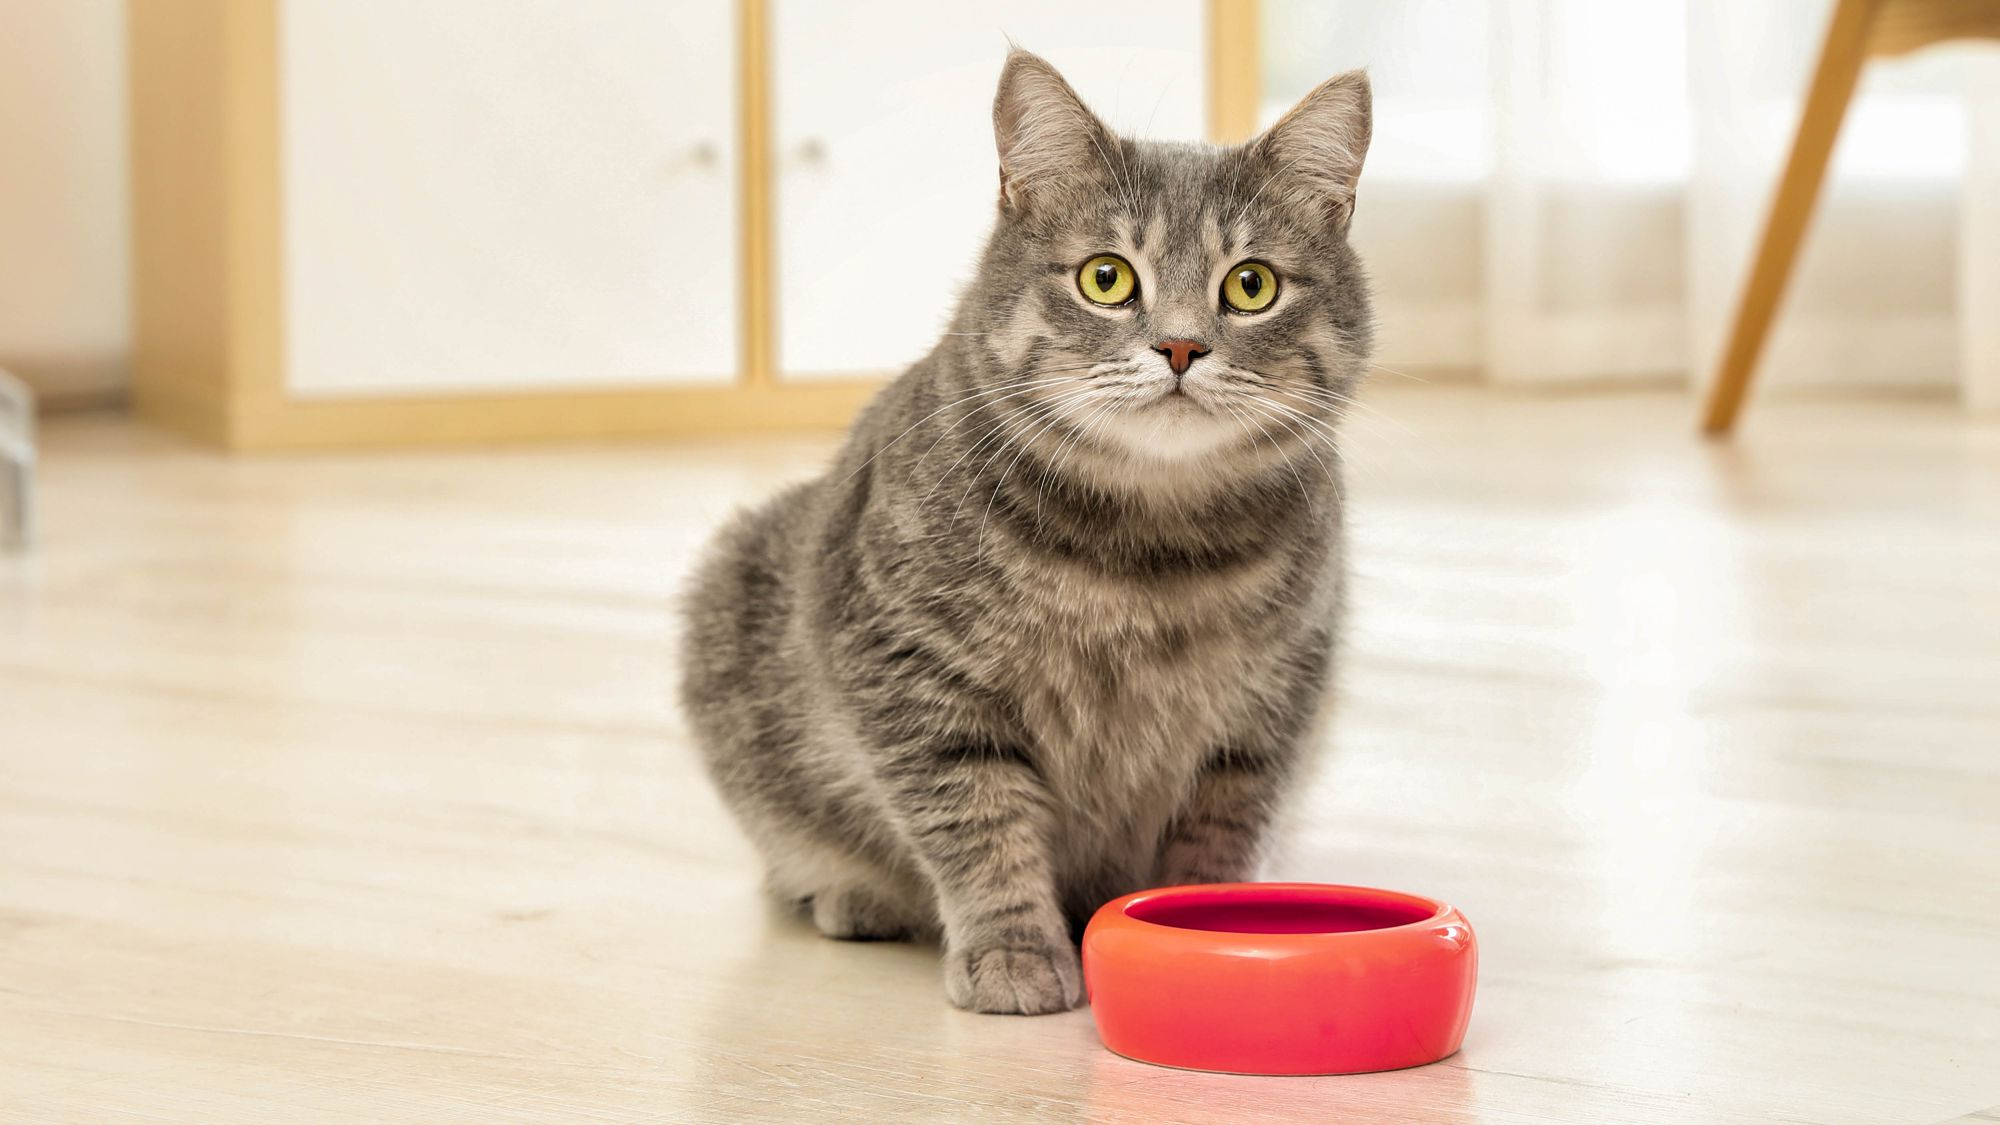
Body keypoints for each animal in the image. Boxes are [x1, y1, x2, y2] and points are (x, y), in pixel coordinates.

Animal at [680, 50, 1368, 1016]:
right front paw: (1013, 950)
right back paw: (852, 893)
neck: (1147, 556)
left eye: (1251, 285)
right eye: (1107, 278)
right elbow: (978, 821)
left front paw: (1209, 919)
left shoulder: (1271, 705)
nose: (1182, 347)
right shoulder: (913, 673)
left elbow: (1220, 829)